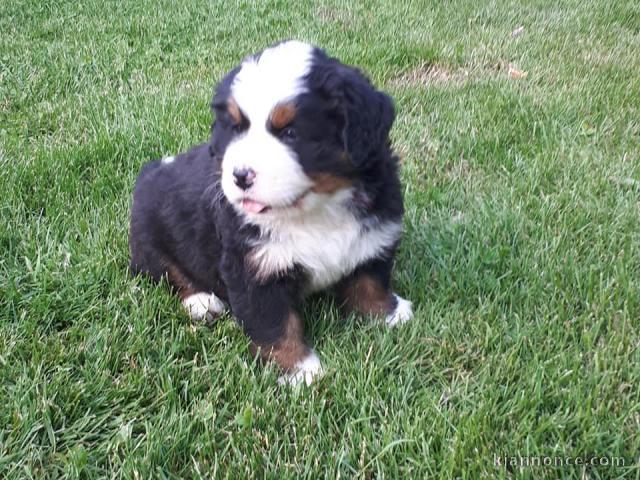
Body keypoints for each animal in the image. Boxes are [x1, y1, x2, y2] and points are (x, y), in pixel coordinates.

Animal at [129, 41, 416, 386]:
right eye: (236, 128)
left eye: (290, 132)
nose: (240, 175)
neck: (315, 210)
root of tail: (151, 170)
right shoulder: (252, 268)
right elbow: (275, 324)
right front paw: (299, 370)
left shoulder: (375, 232)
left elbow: (370, 279)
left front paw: (389, 313)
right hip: (149, 236)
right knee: (168, 272)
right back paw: (201, 301)